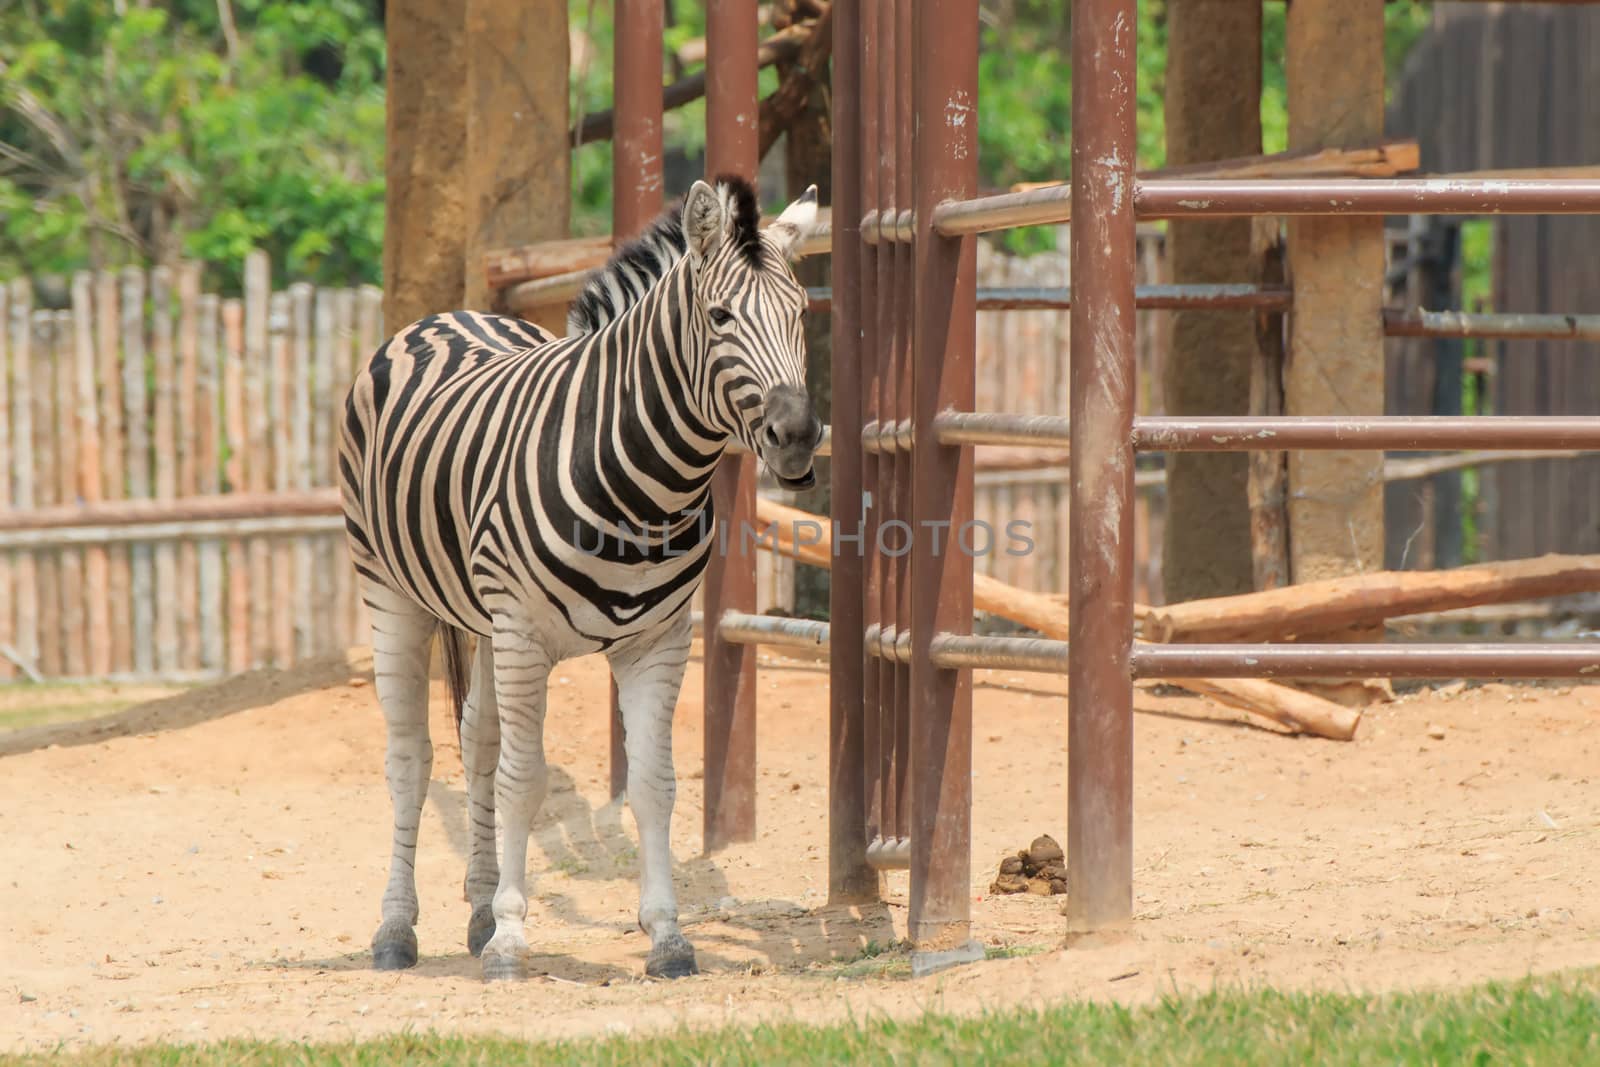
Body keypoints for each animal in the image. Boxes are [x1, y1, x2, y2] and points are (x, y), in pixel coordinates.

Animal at [332, 177, 819, 985]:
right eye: (720, 317)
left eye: (803, 313)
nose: (800, 437)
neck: (645, 489)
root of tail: (446, 315)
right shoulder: (525, 633)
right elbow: (525, 780)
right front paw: (511, 940)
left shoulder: (659, 640)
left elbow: (653, 785)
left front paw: (667, 937)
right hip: (390, 590)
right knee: (411, 758)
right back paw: (397, 930)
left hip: (482, 619)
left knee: (477, 738)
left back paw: (475, 908)